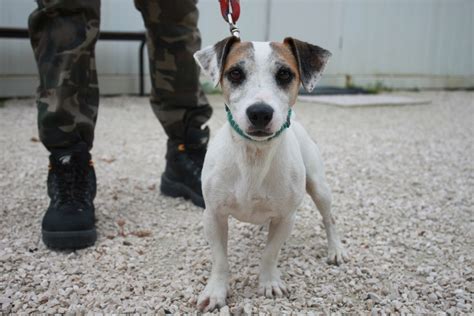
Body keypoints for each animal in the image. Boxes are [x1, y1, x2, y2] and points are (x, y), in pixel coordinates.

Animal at [193, 36, 348, 312]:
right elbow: (220, 259)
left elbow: (270, 253)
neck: (254, 156)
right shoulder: (213, 215)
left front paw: (269, 283)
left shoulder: (286, 218)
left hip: (319, 187)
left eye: (284, 74)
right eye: (235, 73)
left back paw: (335, 249)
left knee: (329, 219)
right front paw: (216, 292)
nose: (260, 112)